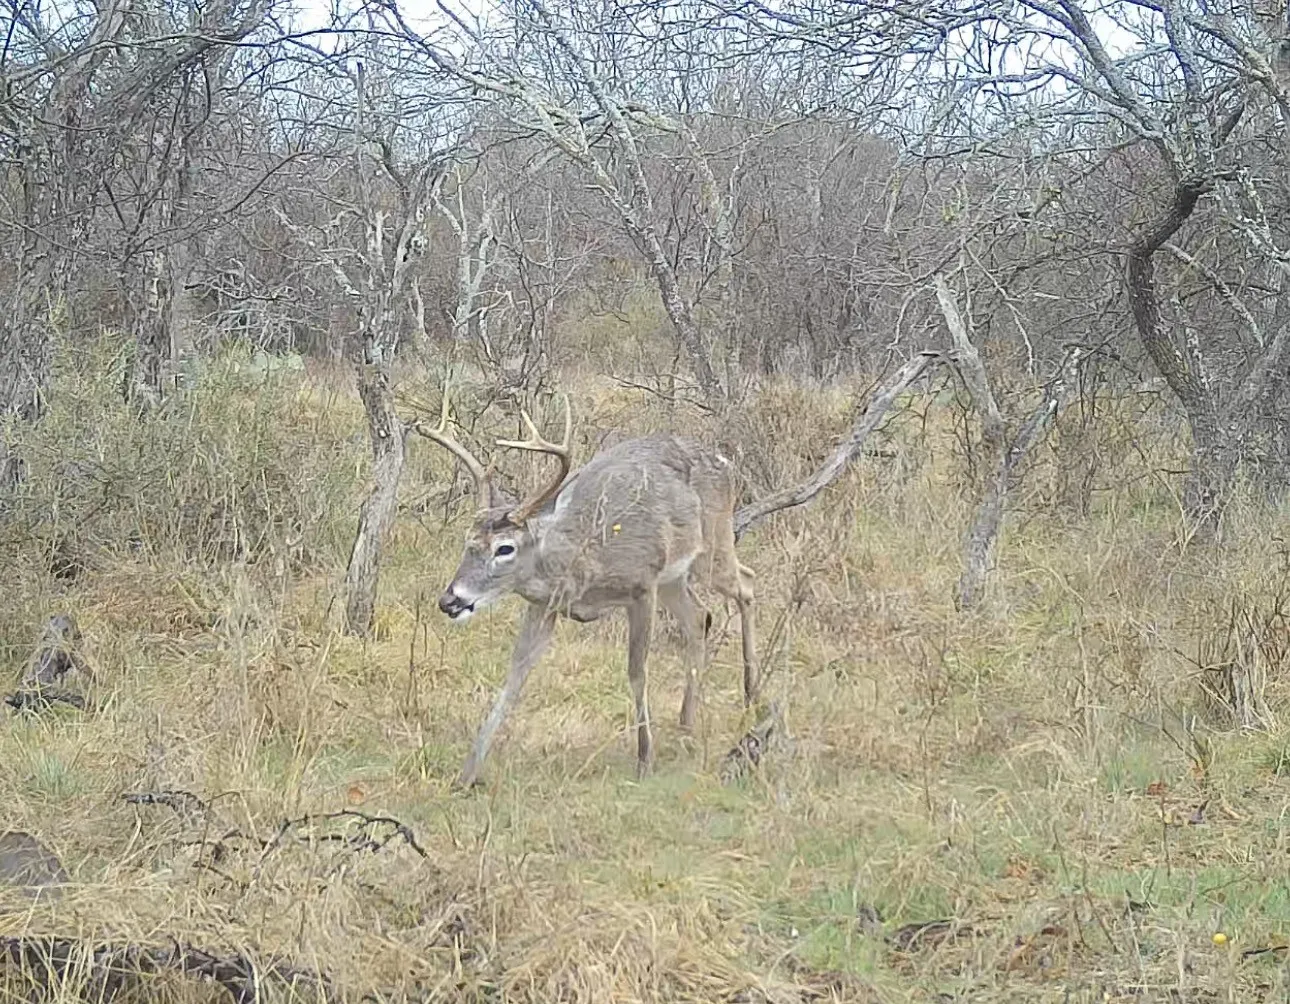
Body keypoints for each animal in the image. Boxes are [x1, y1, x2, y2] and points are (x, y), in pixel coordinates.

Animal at [416, 391, 758, 788]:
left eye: (505, 548)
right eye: (466, 543)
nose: (450, 599)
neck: (578, 565)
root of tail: (727, 463)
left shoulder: (641, 586)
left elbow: (636, 671)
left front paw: (645, 759)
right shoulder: (544, 606)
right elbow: (515, 675)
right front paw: (468, 772)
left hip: (712, 547)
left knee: (746, 584)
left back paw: (751, 696)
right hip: (674, 577)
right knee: (701, 617)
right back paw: (686, 725)